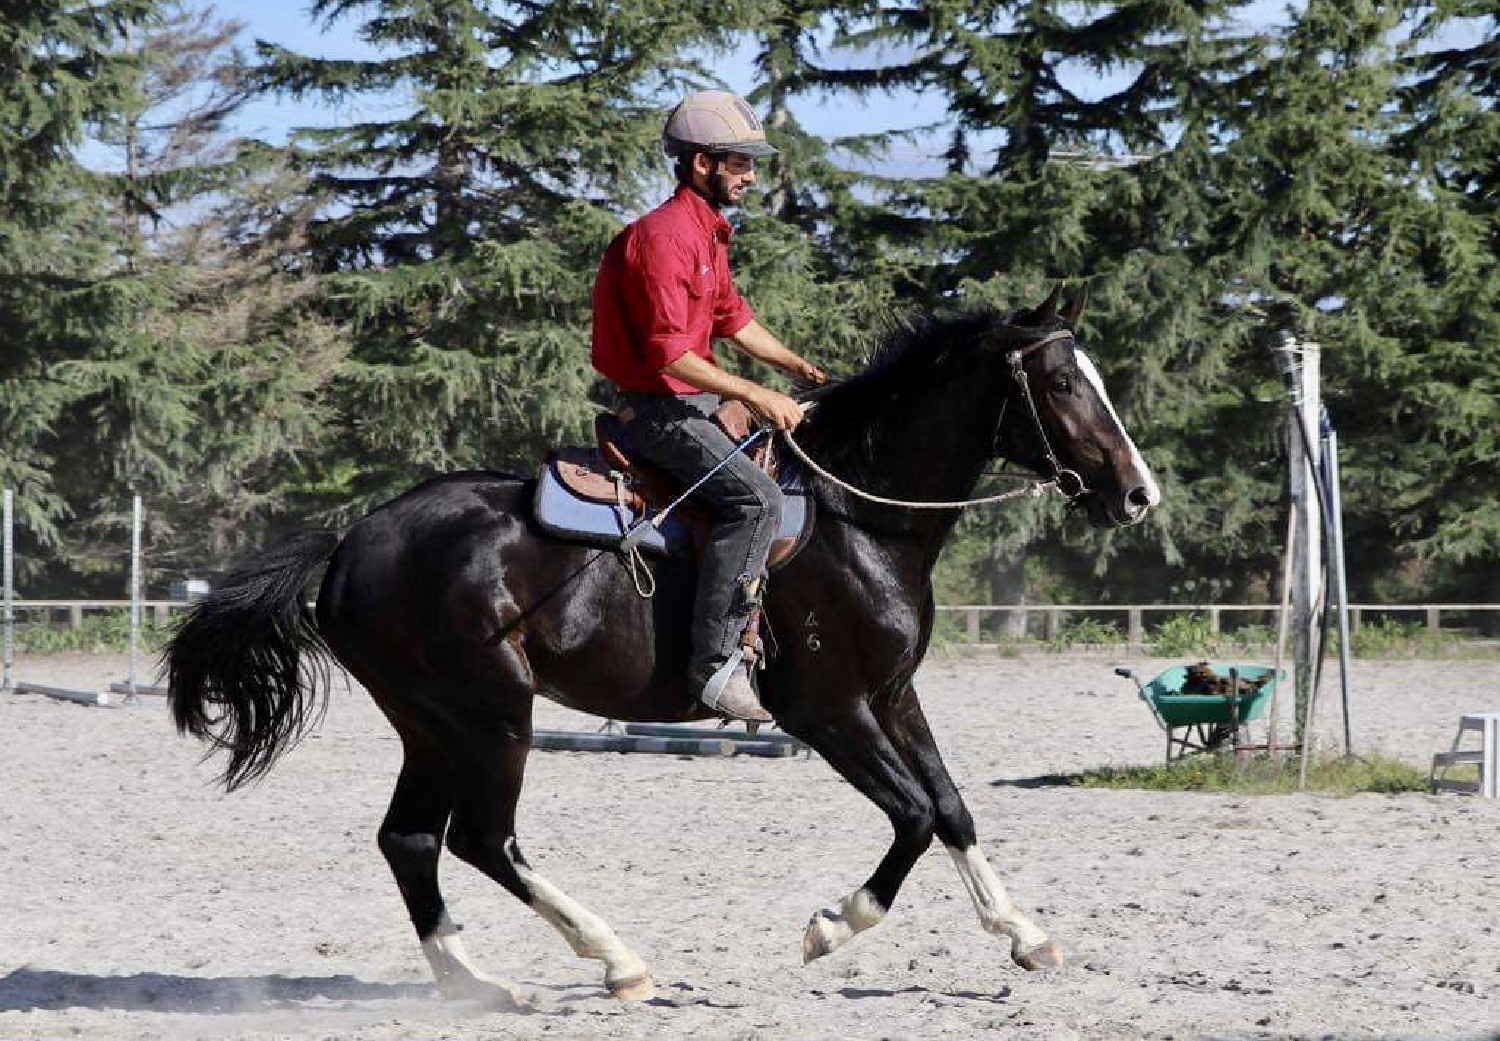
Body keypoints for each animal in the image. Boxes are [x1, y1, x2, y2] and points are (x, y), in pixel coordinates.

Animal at [172, 289, 1158, 1008]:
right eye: (1062, 386)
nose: (1138, 494)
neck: (857, 512)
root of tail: (348, 542)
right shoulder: (829, 711)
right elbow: (913, 816)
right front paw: (831, 925)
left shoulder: (894, 696)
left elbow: (952, 810)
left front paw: (1025, 934)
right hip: (492, 714)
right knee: (483, 838)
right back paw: (615, 959)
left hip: (430, 724)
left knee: (410, 838)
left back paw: (477, 981)